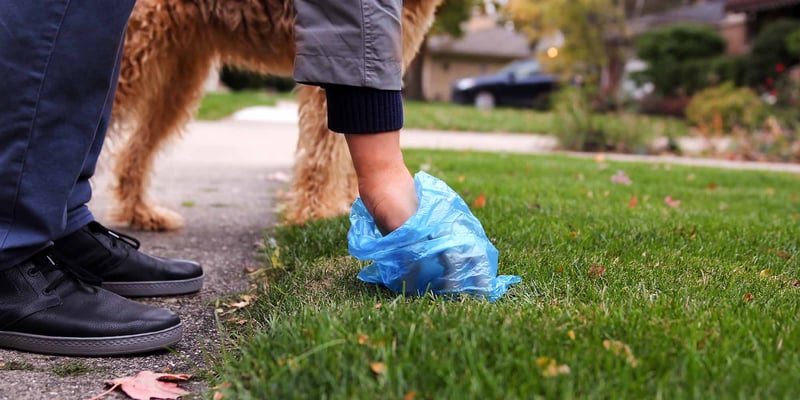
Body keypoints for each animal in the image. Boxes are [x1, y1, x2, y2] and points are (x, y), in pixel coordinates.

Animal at [108, 0, 444, 230]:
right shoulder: (336, 60)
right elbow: (325, 152)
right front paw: (316, 213)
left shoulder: (374, 65)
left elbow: (348, 155)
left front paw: (351, 207)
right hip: (135, 52)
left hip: (178, 74)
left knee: (134, 151)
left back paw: (142, 214)